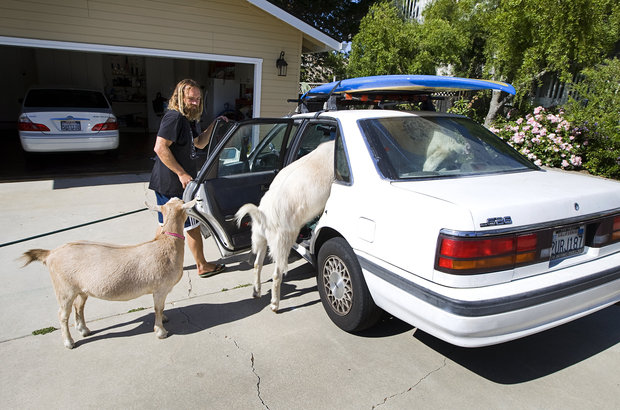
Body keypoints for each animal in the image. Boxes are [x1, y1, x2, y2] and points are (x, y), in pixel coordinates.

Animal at [22, 197, 196, 348]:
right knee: (63, 315)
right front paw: (161, 331)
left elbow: (160, 308)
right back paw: (69, 342)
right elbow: (158, 308)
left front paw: (164, 319)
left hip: (81, 289)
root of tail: (51, 253)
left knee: (79, 306)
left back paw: (83, 330)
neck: (166, 243)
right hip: (64, 289)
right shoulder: (160, 288)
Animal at [236, 140, 334, 310]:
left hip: (261, 239)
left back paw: (256, 292)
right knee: (276, 274)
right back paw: (274, 304)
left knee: (257, 265)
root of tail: (263, 215)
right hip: (282, 242)